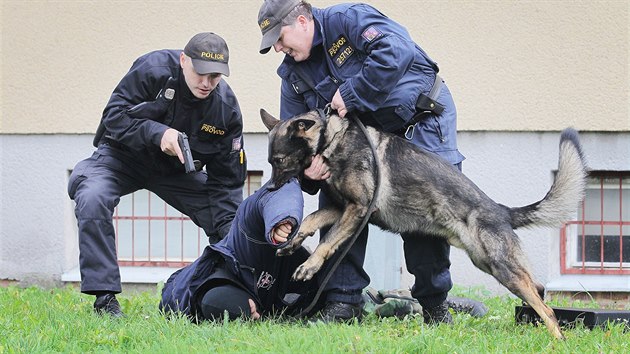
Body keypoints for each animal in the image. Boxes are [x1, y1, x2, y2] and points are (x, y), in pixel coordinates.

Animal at [260, 108, 588, 340]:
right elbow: (311, 220)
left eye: (278, 160)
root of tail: (502, 211)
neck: (331, 138)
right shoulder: (341, 207)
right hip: (489, 263)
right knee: (539, 288)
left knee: (546, 306)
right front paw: (291, 242)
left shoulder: (357, 208)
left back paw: (558, 339)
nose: (271, 189)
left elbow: (328, 242)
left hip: (501, 266)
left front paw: (309, 266)